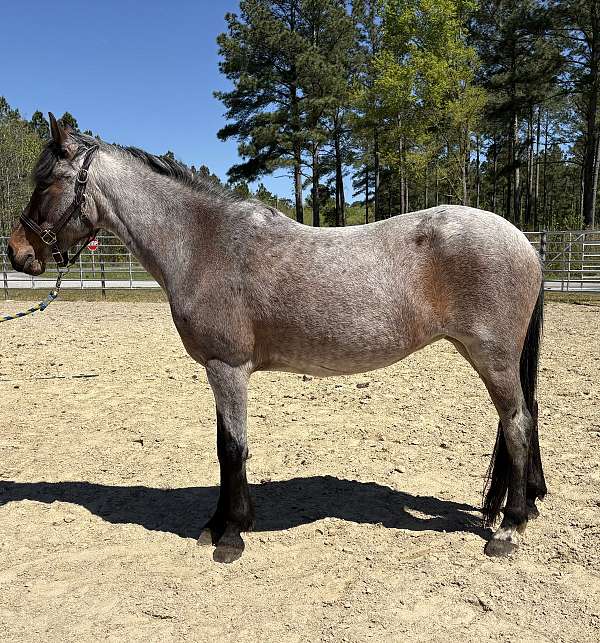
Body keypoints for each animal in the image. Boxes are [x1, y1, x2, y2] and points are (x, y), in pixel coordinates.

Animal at [7, 114, 546, 563]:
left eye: (47, 181)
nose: (16, 252)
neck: (203, 243)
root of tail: (523, 240)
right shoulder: (220, 371)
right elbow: (224, 446)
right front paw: (221, 523)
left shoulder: (227, 368)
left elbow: (232, 449)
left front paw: (229, 536)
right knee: (525, 418)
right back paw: (524, 506)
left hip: (492, 357)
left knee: (517, 423)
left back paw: (511, 529)